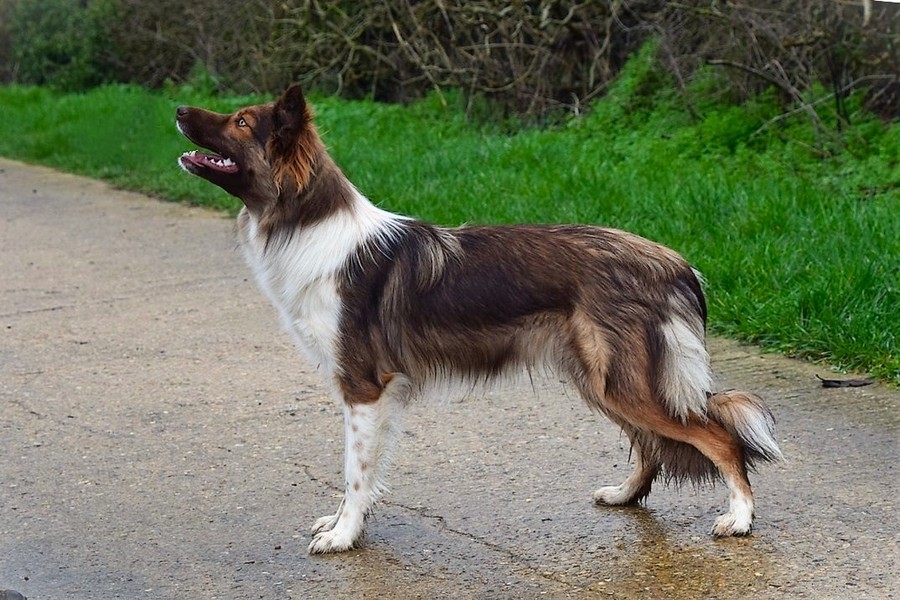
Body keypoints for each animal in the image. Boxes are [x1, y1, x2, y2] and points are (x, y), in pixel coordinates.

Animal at [176, 84, 783, 554]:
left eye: (241, 122)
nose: (179, 109)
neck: (307, 224)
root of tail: (676, 263)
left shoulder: (363, 387)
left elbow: (354, 471)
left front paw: (344, 536)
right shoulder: (373, 392)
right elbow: (364, 474)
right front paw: (350, 524)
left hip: (624, 382)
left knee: (718, 436)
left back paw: (739, 519)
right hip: (604, 380)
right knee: (652, 445)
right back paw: (624, 496)